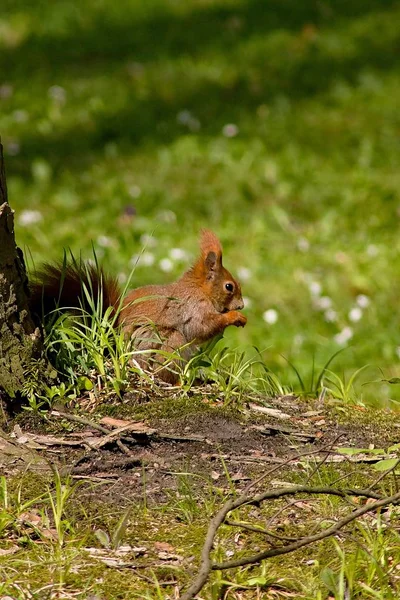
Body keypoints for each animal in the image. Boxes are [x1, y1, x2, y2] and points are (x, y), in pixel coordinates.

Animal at [28, 230, 247, 384]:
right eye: (229, 286)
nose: (242, 305)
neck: (200, 290)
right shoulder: (194, 308)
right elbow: (201, 328)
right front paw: (234, 317)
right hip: (164, 344)